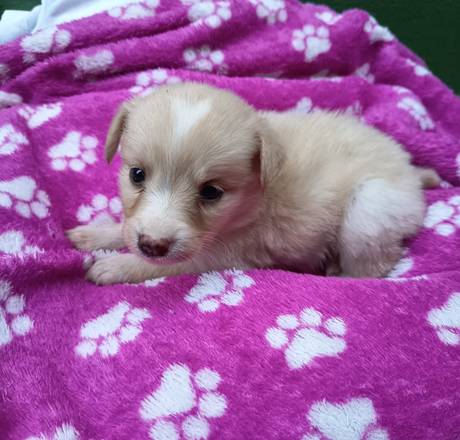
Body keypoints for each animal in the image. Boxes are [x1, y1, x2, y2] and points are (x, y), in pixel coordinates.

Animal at [67, 82, 439, 284]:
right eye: (137, 174)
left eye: (211, 192)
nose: (152, 244)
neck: (254, 197)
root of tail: (411, 170)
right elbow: (125, 227)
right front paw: (94, 234)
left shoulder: (222, 254)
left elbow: (164, 264)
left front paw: (115, 265)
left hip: (369, 211)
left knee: (374, 266)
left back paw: (336, 272)